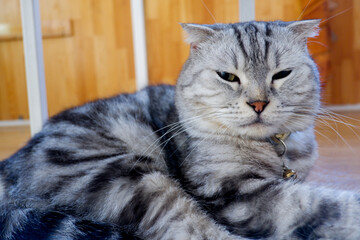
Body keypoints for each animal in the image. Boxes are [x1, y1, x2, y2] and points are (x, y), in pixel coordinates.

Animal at [0, 20, 360, 240]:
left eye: (282, 74)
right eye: (228, 76)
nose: (258, 103)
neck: (276, 149)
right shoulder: (236, 193)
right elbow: (327, 206)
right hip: (130, 177)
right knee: (191, 229)